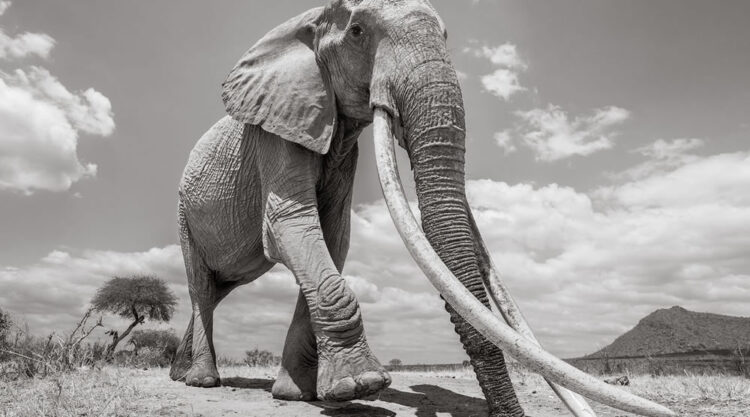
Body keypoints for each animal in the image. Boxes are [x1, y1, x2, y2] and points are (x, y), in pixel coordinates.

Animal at [170, 0, 676, 416]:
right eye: (358, 32)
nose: (503, 412)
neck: (306, 21)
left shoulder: (342, 147)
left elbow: (332, 238)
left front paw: (300, 395)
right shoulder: (275, 131)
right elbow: (290, 227)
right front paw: (362, 385)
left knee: (217, 289)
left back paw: (182, 372)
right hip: (183, 214)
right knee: (201, 285)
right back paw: (202, 381)